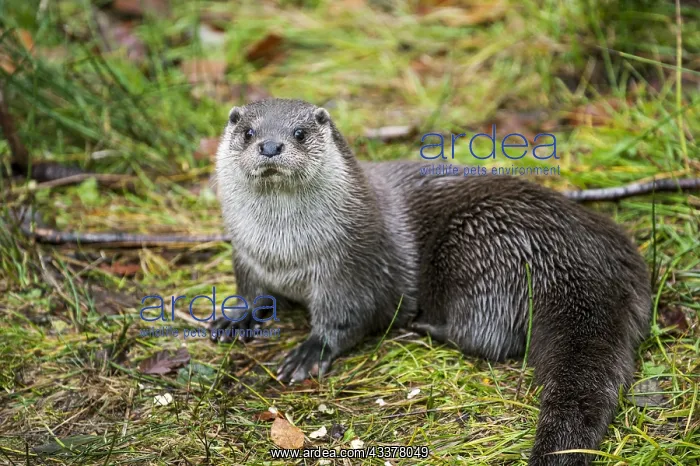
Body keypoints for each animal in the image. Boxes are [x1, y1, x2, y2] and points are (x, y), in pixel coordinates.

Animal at [211, 98, 651, 465]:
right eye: (248, 132)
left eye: (300, 133)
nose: (270, 146)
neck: (285, 254)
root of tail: (581, 253)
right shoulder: (246, 256)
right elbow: (250, 293)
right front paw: (235, 317)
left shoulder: (352, 267)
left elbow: (350, 316)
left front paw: (310, 351)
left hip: (481, 247)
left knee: (488, 336)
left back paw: (426, 327)